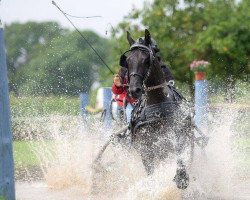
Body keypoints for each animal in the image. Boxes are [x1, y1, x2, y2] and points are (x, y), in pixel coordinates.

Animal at [121, 28, 193, 188]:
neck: (158, 106)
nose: (134, 90)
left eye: (146, 59)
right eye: (127, 61)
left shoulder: (179, 134)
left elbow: (180, 152)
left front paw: (181, 177)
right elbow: (150, 171)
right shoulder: (146, 150)